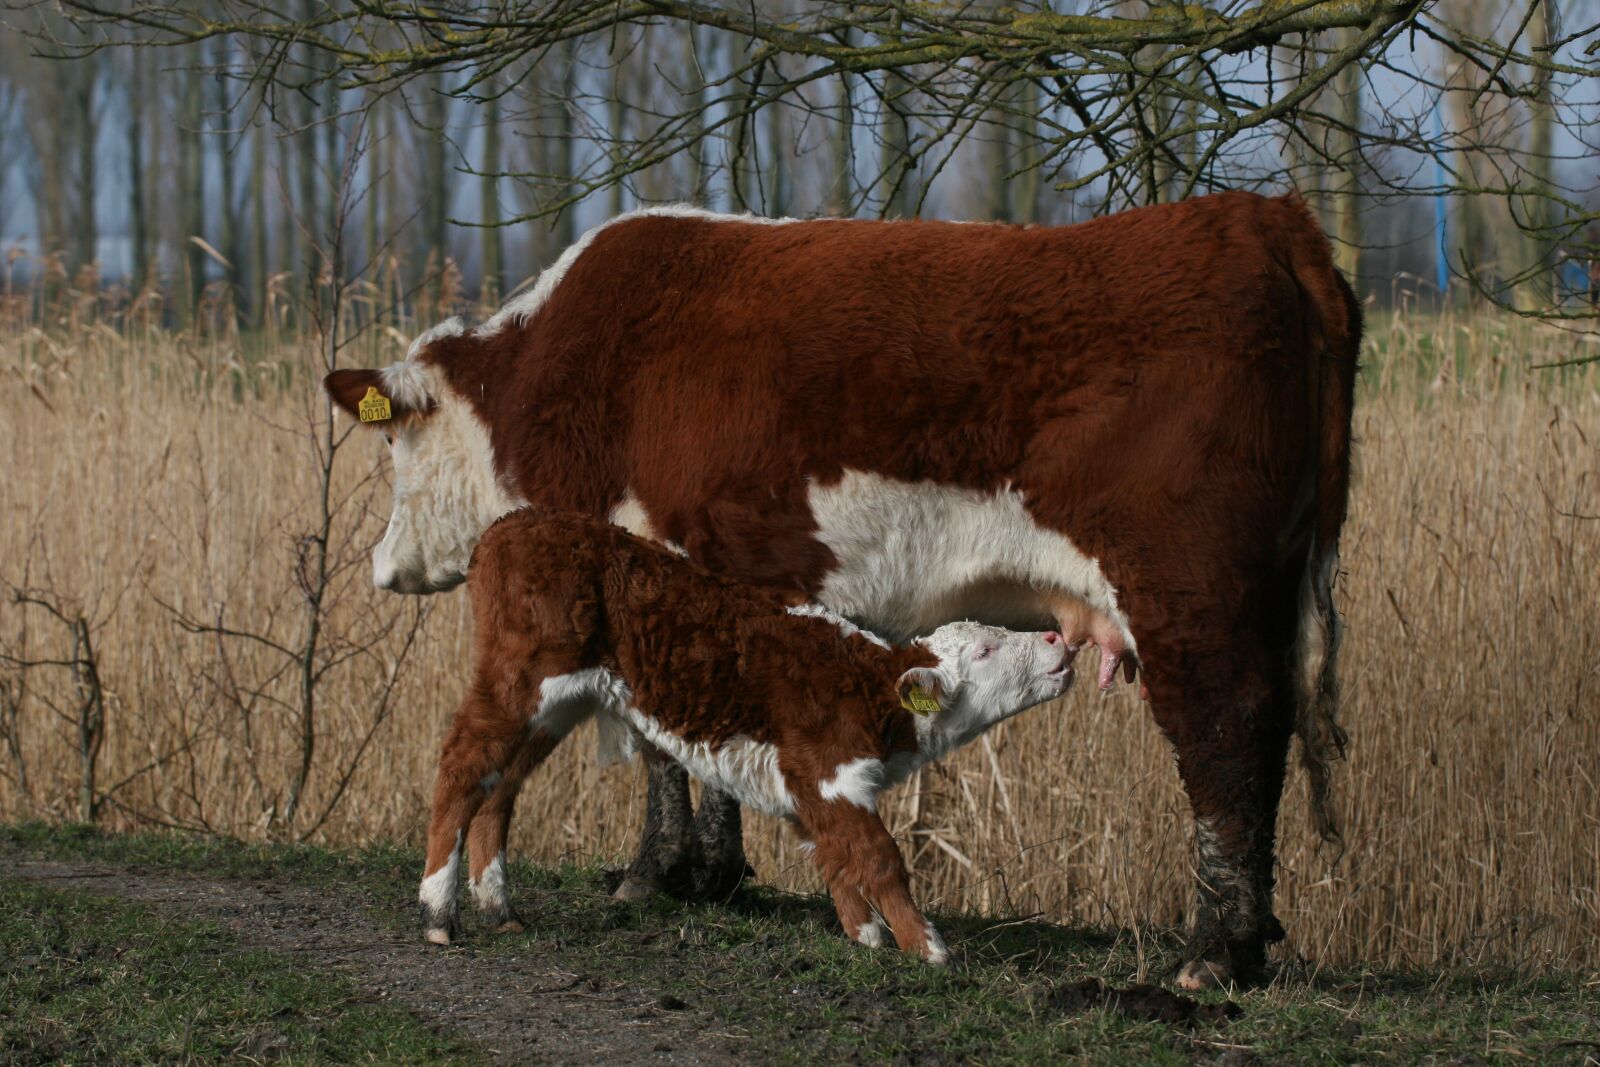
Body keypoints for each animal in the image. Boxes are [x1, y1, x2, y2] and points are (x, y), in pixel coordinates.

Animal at [418, 506, 1077, 960]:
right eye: (988, 650)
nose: (1055, 636)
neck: (868, 689)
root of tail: (510, 525)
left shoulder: (812, 790)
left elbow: (837, 859)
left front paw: (867, 936)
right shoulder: (829, 775)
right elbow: (878, 857)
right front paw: (927, 946)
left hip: (556, 703)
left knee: (501, 784)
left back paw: (498, 907)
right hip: (520, 680)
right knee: (462, 765)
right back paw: (438, 913)